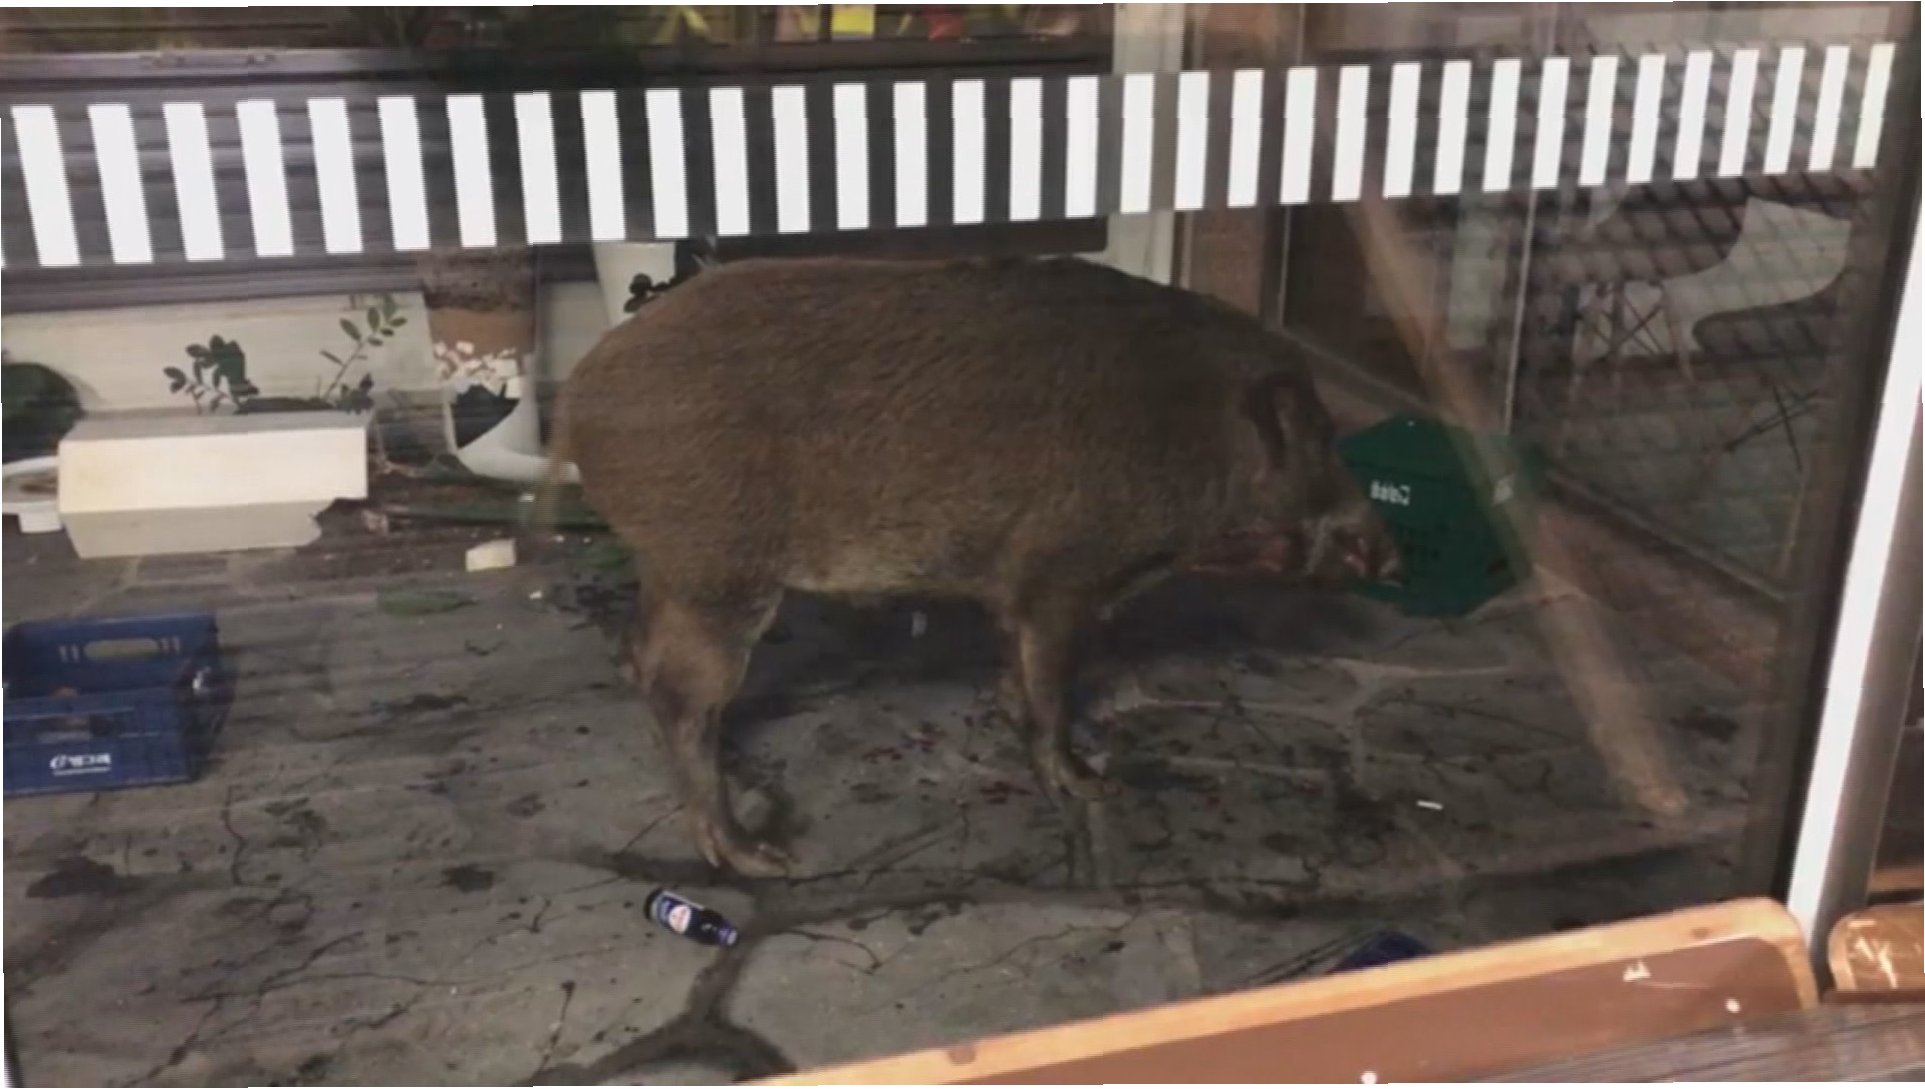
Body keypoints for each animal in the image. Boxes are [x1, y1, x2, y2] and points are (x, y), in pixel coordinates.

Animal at [549, 256, 1399, 875]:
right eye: (1321, 435)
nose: (1387, 551)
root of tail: (579, 395)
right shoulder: (1058, 575)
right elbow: (1052, 690)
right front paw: (1092, 781)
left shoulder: (1017, 590)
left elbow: (1018, 675)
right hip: (717, 575)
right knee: (680, 694)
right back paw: (763, 858)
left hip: (674, 572)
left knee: (637, 653)